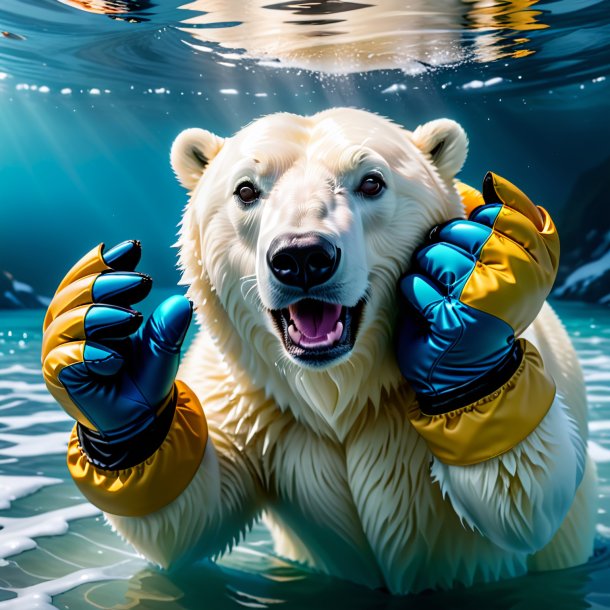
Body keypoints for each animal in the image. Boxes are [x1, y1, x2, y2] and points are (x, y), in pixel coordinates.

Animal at [42, 107, 592, 592]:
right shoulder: (251, 397)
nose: (303, 257)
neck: (342, 389)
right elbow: (192, 515)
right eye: (246, 189)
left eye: (372, 182)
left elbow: (526, 503)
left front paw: (466, 320)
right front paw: (110, 362)